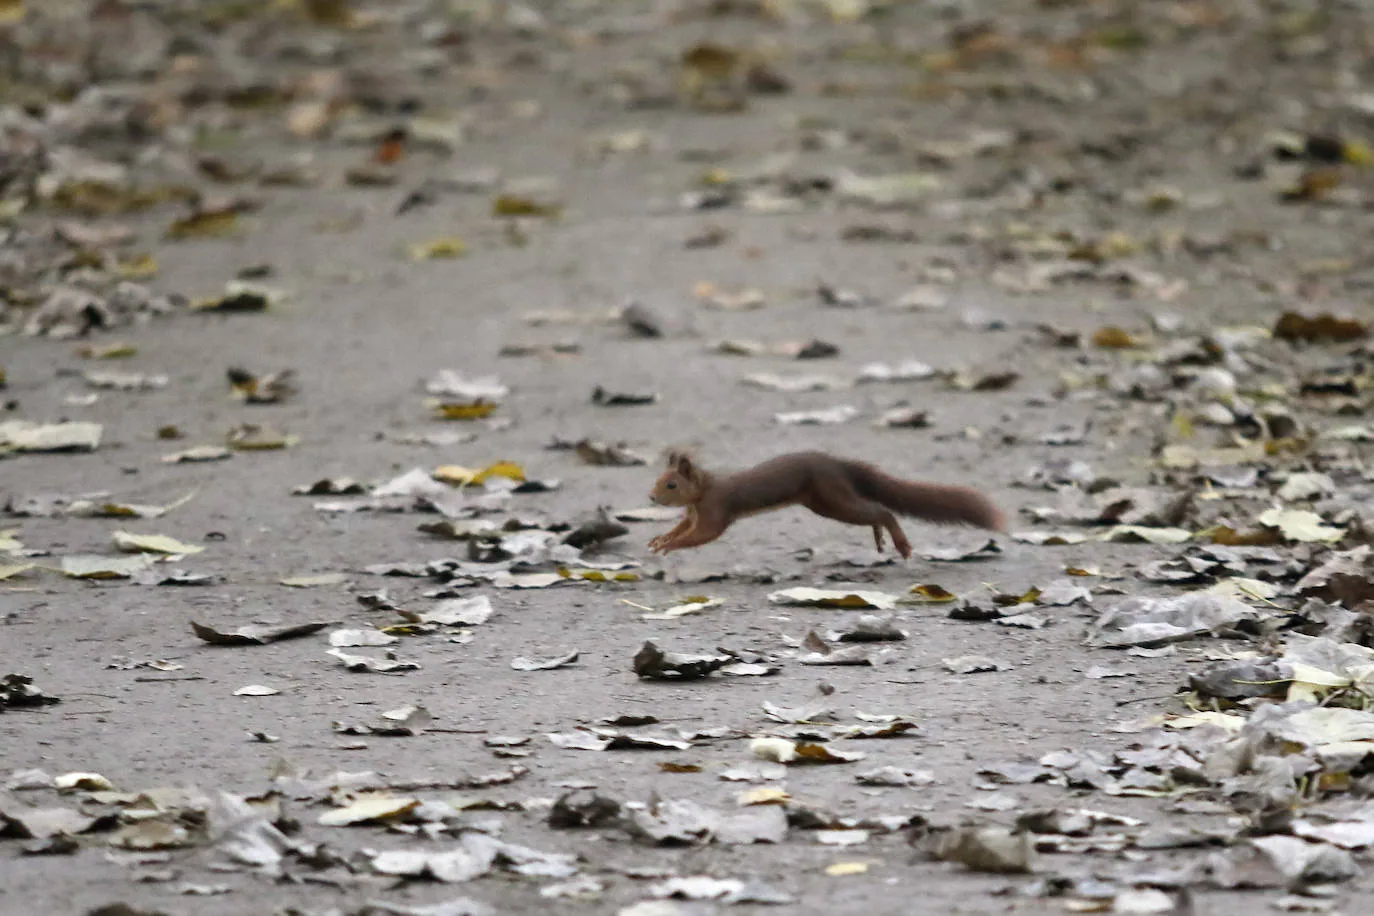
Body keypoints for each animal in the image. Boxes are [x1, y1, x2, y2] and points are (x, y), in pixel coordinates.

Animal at [648, 450, 1005, 560]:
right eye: (658, 478)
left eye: (671, 484)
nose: (651, 498)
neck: (703, 491)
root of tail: (839, 465)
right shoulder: (693, 513)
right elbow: (683, 527)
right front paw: (661, 539)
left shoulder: (715, 509)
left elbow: (703, 534)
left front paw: (670, 545)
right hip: (824, 502)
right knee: (874, 513)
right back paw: (879, 538)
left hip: (830, 497)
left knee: (882, 511)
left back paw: (900, 545)